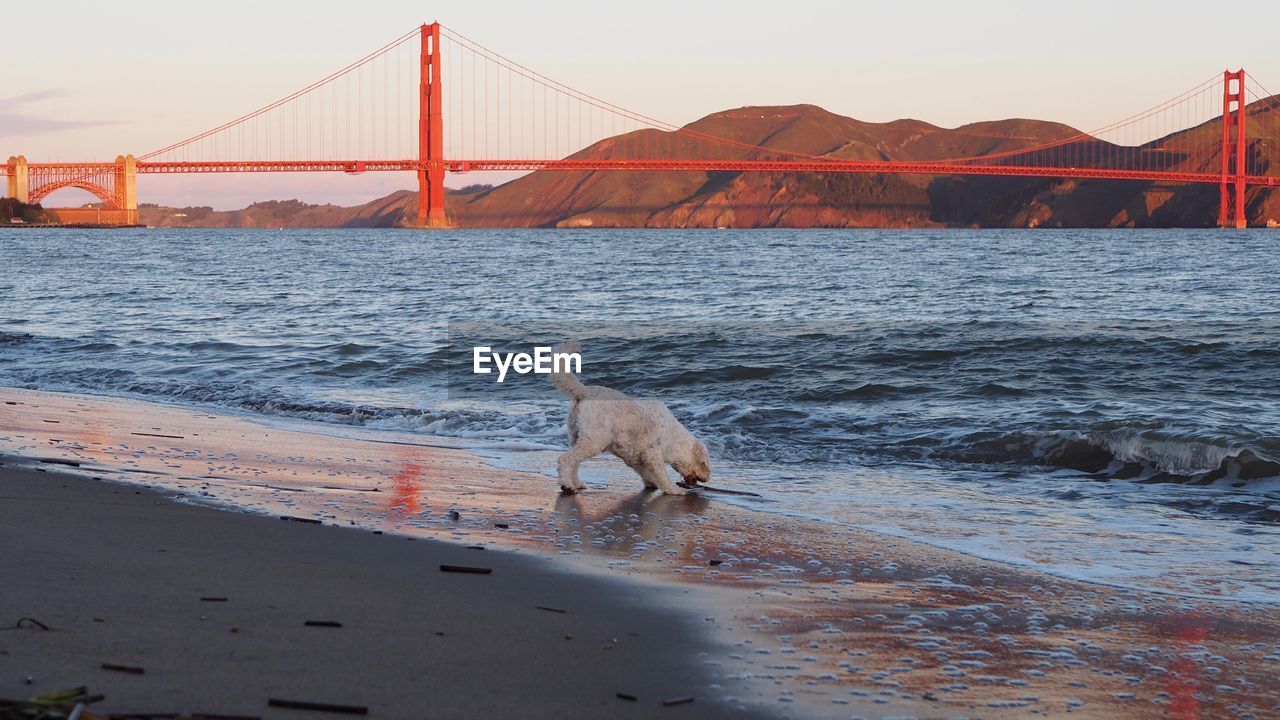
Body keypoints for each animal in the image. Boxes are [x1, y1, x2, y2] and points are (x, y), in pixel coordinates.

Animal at [550, 340, 711, 491]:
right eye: (704, 464)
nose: (707, 478)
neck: (675, 438)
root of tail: (585, 391)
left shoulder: (636, 458)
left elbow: (646, 473)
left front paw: (651, 484)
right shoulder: (653, 455)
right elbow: (663, 476)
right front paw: (674, 490)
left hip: (576, 437)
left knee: (574, 462)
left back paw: (576, 483)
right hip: (594, 440)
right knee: (565, 459)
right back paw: (567, 485)